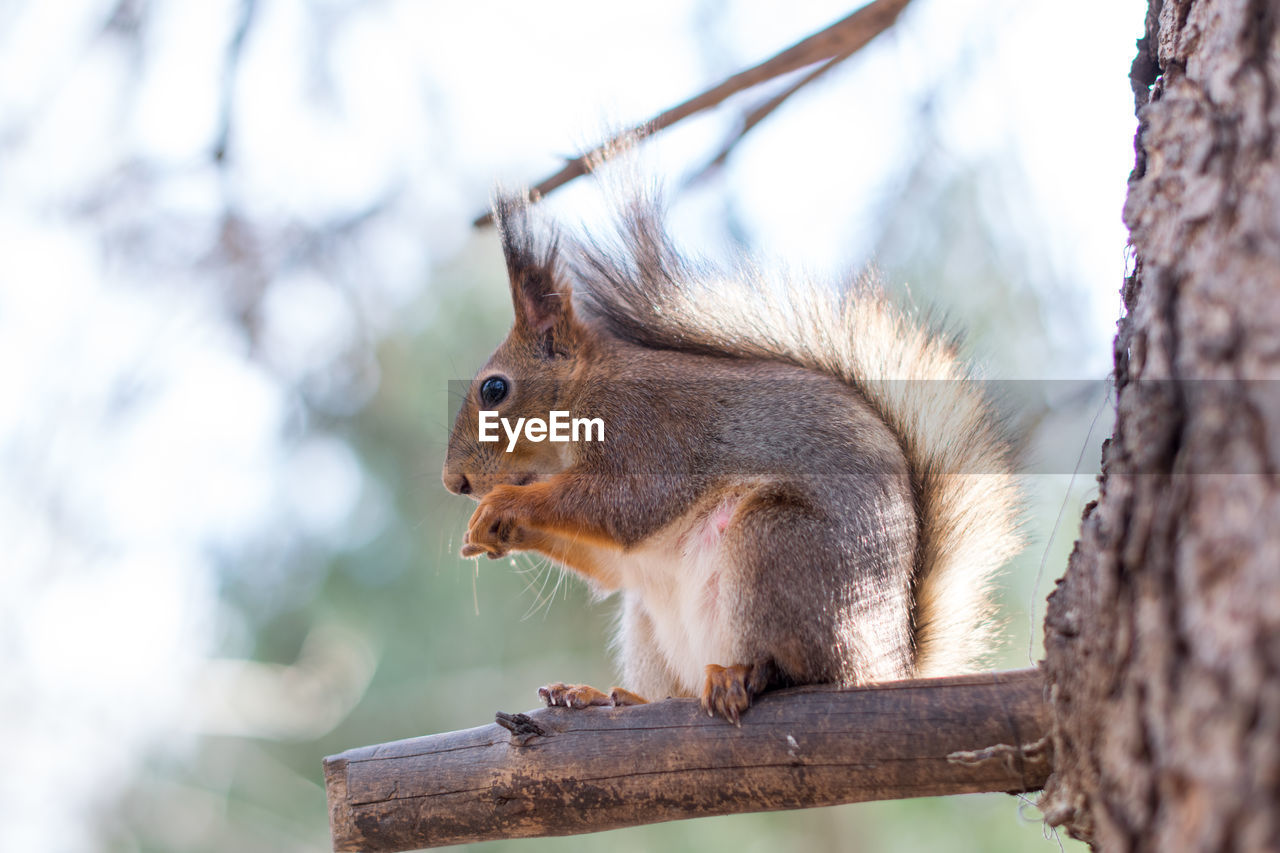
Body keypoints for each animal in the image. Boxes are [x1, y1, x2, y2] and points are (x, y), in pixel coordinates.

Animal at [445, 190, 1024, 722]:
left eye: (494, 389)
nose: (456, 483)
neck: (584, 391)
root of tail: (882, 662)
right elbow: (609, 564)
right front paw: (487, 534)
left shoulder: (649, 428)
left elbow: (627, 505)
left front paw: (502, 508)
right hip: (652, 621)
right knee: (669, 686)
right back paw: (607, 696)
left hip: (775, 546)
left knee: (803, 668)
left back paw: (745, 674)